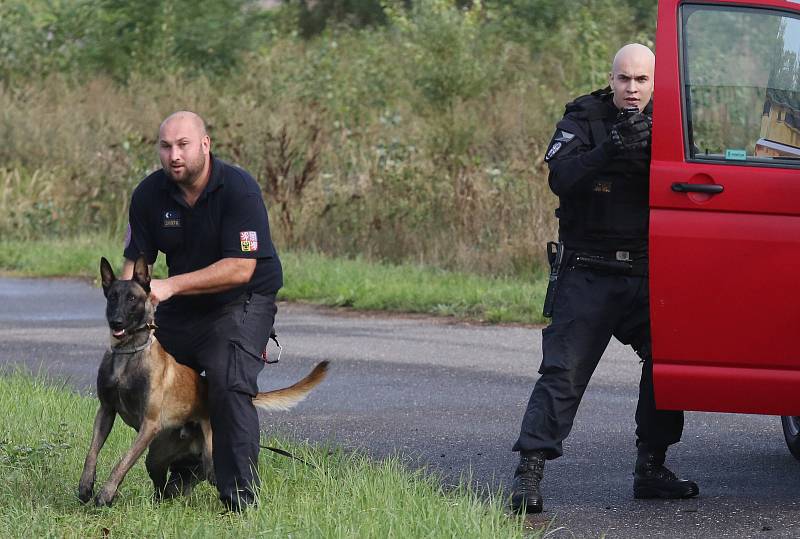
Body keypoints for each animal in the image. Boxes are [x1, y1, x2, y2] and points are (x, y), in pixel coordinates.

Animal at [78, 258, 328, 506]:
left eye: (132, 298)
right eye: (112, 297)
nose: (116, 322)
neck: (128, 353)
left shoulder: (149, 424)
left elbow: (123, 460)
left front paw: (106, 493)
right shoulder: (106, 411)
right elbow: (92, 452)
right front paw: (86, 485)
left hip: (209, 453)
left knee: (211, 474)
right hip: (158, 457)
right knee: (177, 478)